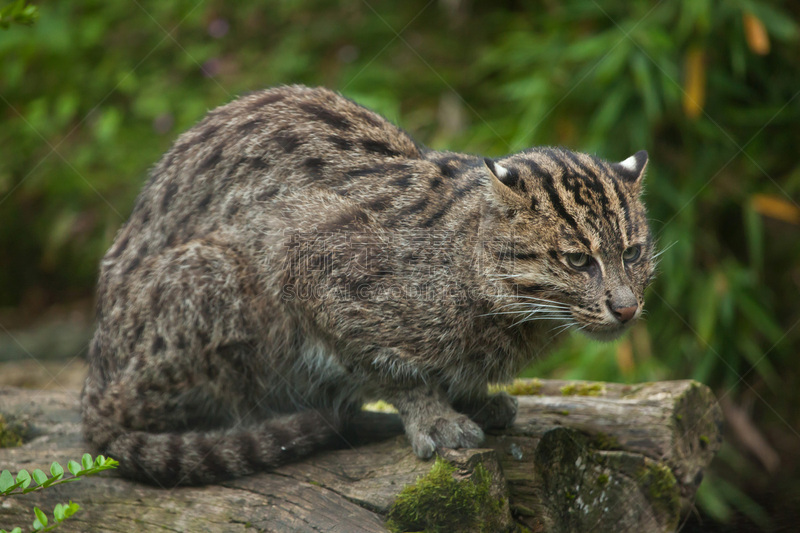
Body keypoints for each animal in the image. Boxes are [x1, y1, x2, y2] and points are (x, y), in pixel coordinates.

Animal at [83, 84, 656, 486]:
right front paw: (433, 416)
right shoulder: (305, 261)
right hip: (212, 274)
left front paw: (473, 397)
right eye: (577, 260)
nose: (627, 308)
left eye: (632, 253)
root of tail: (94, 374)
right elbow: (389, 368)